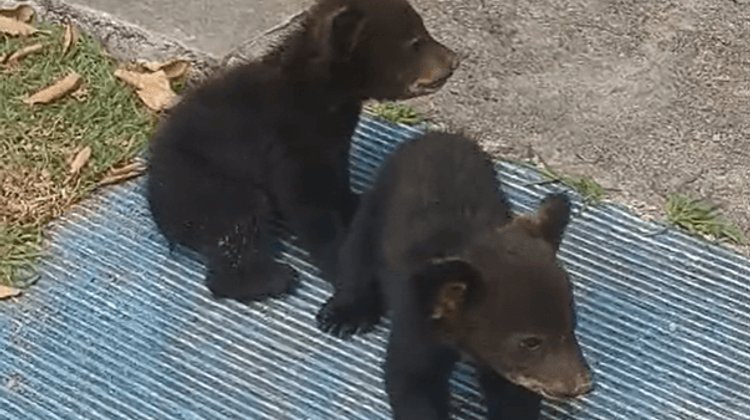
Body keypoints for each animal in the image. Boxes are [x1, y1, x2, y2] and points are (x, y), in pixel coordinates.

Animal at [145, 0, 459, 302]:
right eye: (415, 41)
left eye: (423, 30)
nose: (453, 60)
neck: (326, 92)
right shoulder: (288, 136)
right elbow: (307, 201)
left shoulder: (334, 135)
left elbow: (335, 177)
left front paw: (354, 201)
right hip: (204, 183)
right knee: (238, 220)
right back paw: (271, 279)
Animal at [316, 132, 593, 419]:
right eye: (530, 342)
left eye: (571, 325)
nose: (582, 386)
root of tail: (435, 135)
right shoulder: (417, 319)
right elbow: (411, 379)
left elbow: (513, 393)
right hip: (377, 205)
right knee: (357, 252)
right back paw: (345, 314)